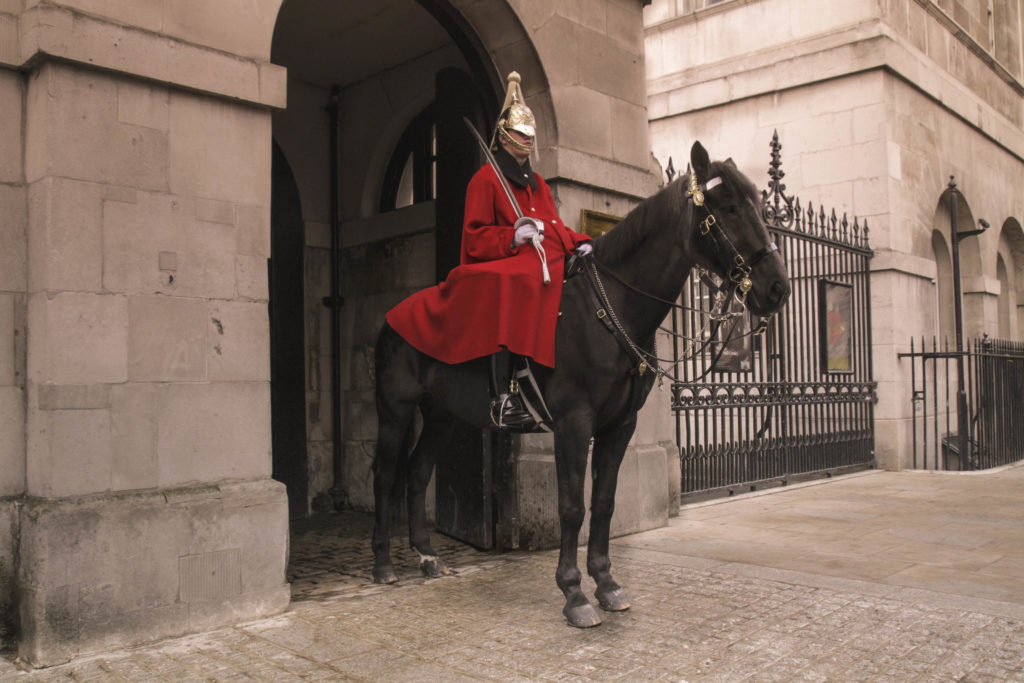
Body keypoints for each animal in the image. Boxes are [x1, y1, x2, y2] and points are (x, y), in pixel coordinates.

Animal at [370, 141, 790, 626]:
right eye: (729, 207)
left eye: (758, 204)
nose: (777, 288)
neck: (610, 310)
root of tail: (393, 316)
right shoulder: (573, 423)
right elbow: (571, 507)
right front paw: (573, 593)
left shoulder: (619, 426)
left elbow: (604, 503)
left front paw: (606, 583)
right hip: (395, 410)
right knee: (386, 474)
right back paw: (383, 565)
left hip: (444, 414)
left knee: (418, 471)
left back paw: (426, 556)